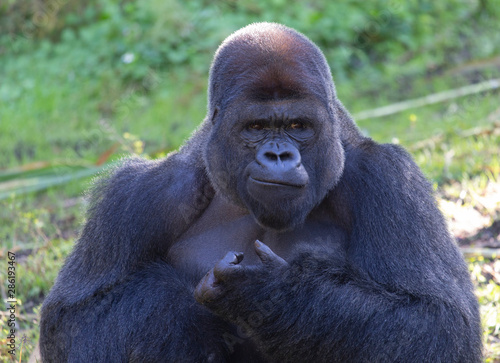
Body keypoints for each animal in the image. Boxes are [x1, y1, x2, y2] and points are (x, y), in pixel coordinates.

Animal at [39, 23, 480, 363]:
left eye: (298, 126)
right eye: (256, 127)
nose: (279, 155)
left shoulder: (389, 179)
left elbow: (439, 324)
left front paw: (269, 294)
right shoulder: (138, 193)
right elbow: (74, 320)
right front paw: (181, 308)